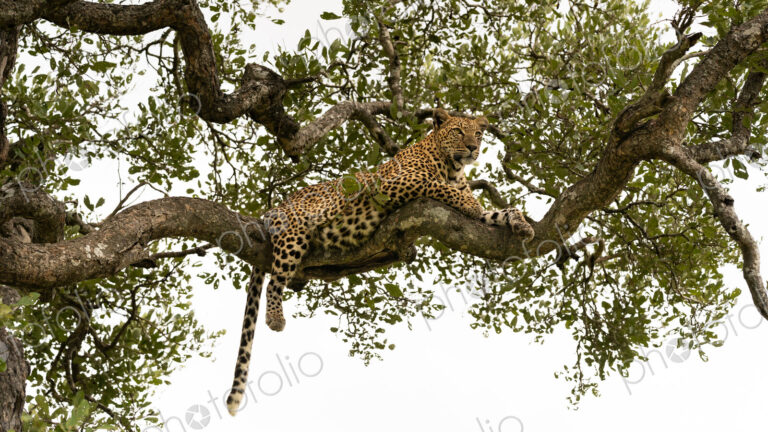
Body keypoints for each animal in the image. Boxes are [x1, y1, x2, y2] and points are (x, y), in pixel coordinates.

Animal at [226, 108, 535, 415]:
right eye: (458, 131)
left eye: (478, 133)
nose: (472, 147)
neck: (453, 167)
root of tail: (273, 208)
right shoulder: (392, 184)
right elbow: (439, 187)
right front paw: (470, 203)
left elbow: (504, 211)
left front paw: (523, 225)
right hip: (294, 232)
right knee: (275, 281)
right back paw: (276, 318)